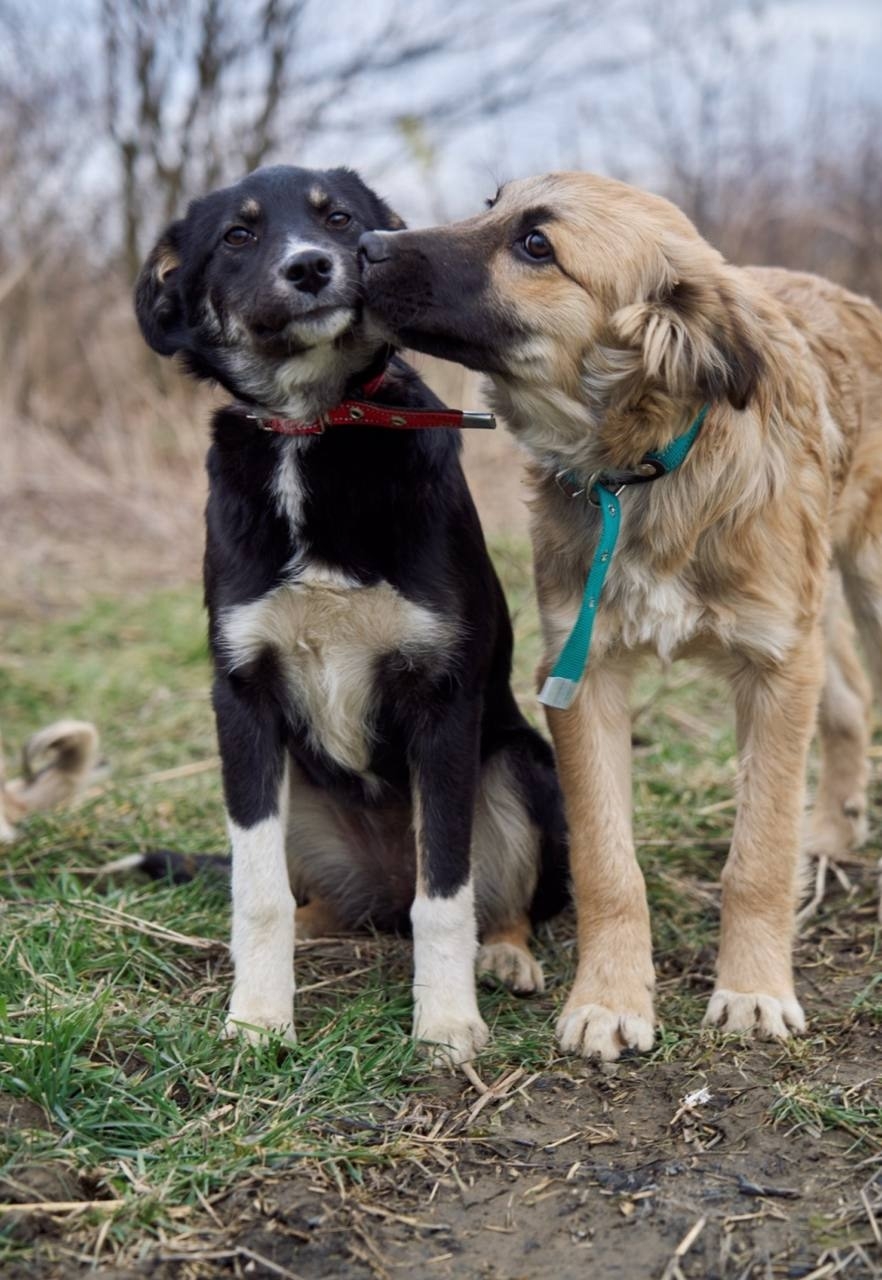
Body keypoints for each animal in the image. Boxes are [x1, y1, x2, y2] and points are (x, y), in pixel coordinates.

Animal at [134, 165, 568, 1064]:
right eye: (238, 235)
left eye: (338, 219)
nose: (311, 267)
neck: (317, 425)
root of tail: (380, 888)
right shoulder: (243, 698)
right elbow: (256, 894)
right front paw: (259, 1016)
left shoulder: (443, 698)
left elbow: (447, 895)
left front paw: (447, 1022)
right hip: (298, 799)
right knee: (312, 902)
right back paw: (309, 932)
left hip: (521, 765)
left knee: (486, 899)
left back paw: (505, 953)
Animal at [359, 170, 882, 1061]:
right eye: (493, 203)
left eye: (537, 245)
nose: (360, 247)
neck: (645, 469)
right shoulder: (583, 672)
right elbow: (608, 864)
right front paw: (609, 996)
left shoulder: (773, 667)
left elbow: (758, 854)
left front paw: (752, 988)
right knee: (847, 701)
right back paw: (833, 832)